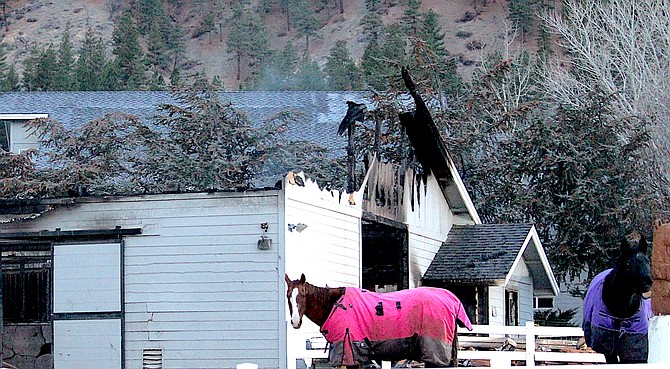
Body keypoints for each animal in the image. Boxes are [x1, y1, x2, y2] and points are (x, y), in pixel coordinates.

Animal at [286, 272, 476, 366]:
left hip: (434, 357)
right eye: (288, 295)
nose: (295, 321)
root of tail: (452, 301)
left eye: (303, 294)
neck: (335, 304)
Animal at [584, 233, 652, 362]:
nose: (647, 283)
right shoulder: (609, 350)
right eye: (627, 264)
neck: (621, 311)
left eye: (648, 261)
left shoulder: (633, 350)